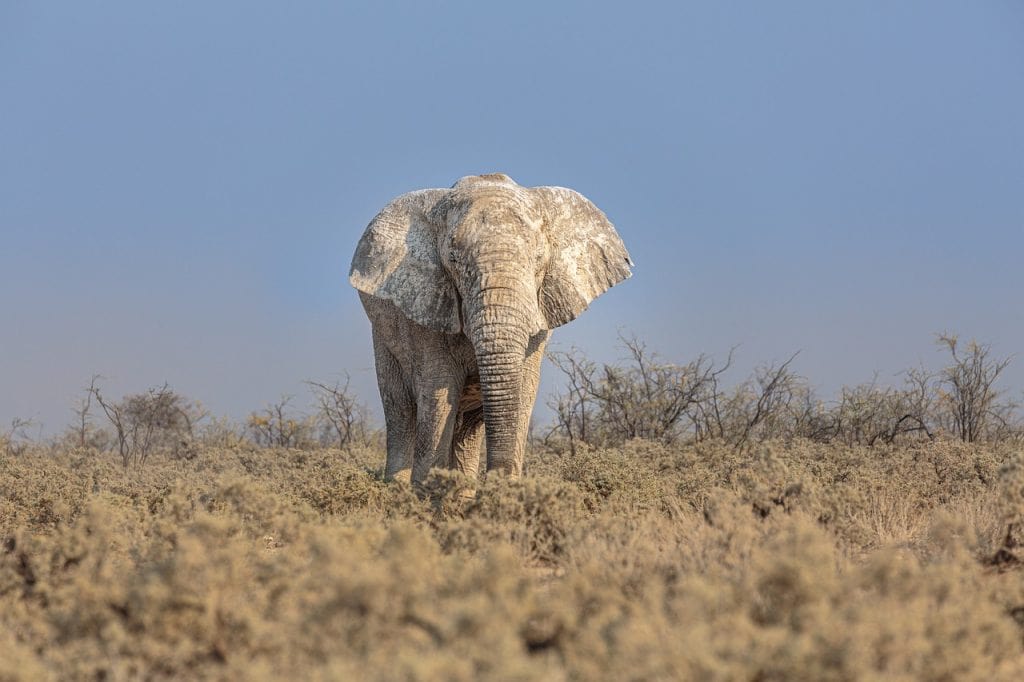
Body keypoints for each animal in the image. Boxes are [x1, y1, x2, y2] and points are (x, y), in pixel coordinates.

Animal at [348, 173, 626, 481]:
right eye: (453, 260)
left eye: (539, 258)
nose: (495, 479)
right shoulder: (425, 308)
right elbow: (438, 393)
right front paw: (427, 490)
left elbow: (523, 392)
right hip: (383, 338)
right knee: (401, 410)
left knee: (467, 429)